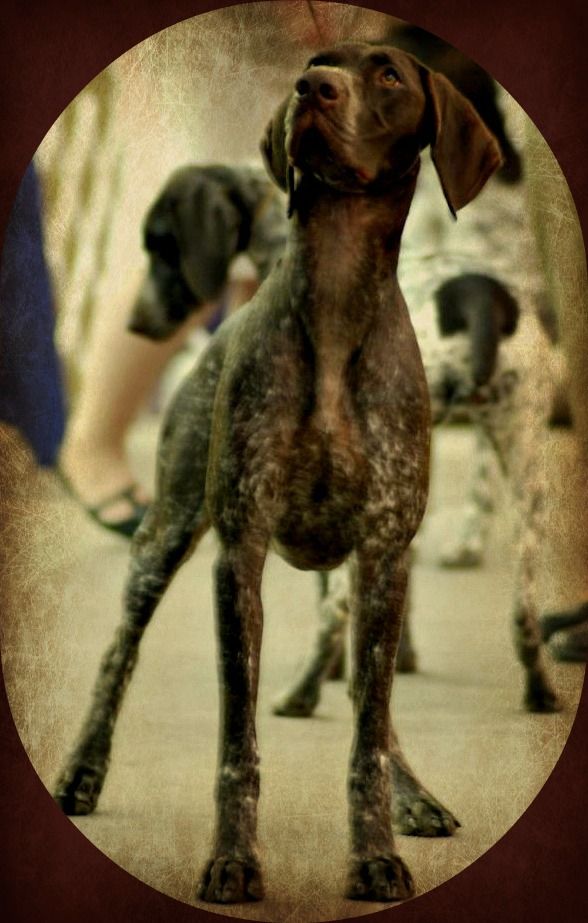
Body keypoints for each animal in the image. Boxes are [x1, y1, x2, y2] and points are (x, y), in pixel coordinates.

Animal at [53, 42, 501, 903]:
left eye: (389, 73)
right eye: (318, 65)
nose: (312, 89)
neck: (334, 298)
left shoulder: (385, 555)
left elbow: (367, 727)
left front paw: (376, 851)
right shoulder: (240, 557)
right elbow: (238, 740)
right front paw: (232, 859)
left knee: (369, 700)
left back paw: (412, 791)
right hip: (163, 539)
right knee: (116, 655)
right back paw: (82, 771)